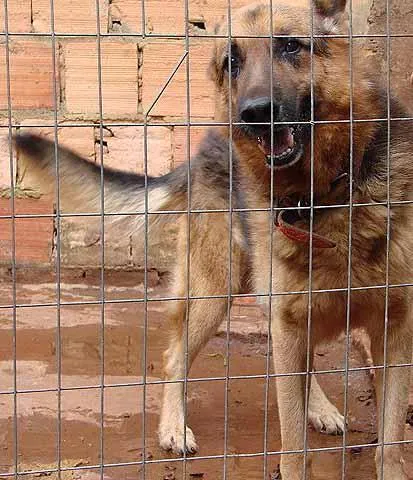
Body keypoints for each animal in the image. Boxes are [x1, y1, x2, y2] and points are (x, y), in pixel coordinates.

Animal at [14, 0, 410, 476]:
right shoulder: (291, 320)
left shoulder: (393, 331)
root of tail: (203, 150)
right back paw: (172, 426)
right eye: (231, 63)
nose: (255, 114)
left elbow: (390, 440)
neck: (326, 196)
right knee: (176, 358)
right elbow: (293, 445)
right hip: (213, 291)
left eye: (291, 46)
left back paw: (319, 407)